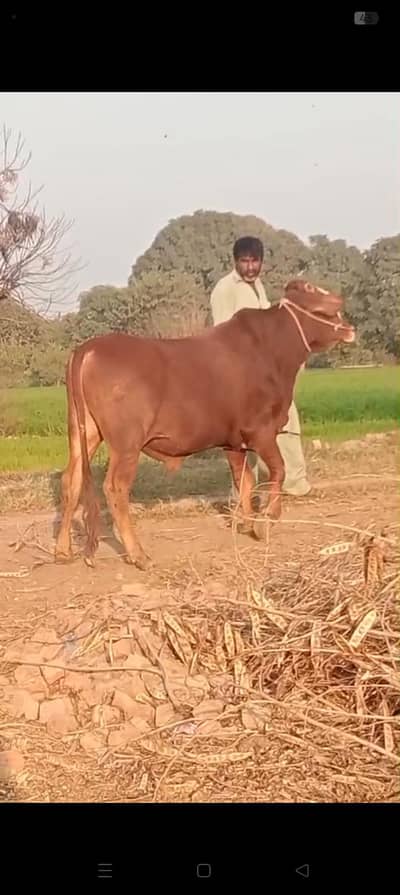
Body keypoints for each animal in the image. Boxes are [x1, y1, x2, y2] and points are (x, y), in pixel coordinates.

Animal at [55, 279, 355, 570]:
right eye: (314, 296)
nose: (349, 327)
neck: (271, 352)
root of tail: (89, 347)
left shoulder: (234, 441)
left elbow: (244, 480)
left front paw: (246, 522)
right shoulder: (261, 432)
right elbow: (278, 471)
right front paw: (266, 520)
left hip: (84, 433)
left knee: (71, 480)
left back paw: (63, 550)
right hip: (126, 443)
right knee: (115, 488)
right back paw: (138, 555)